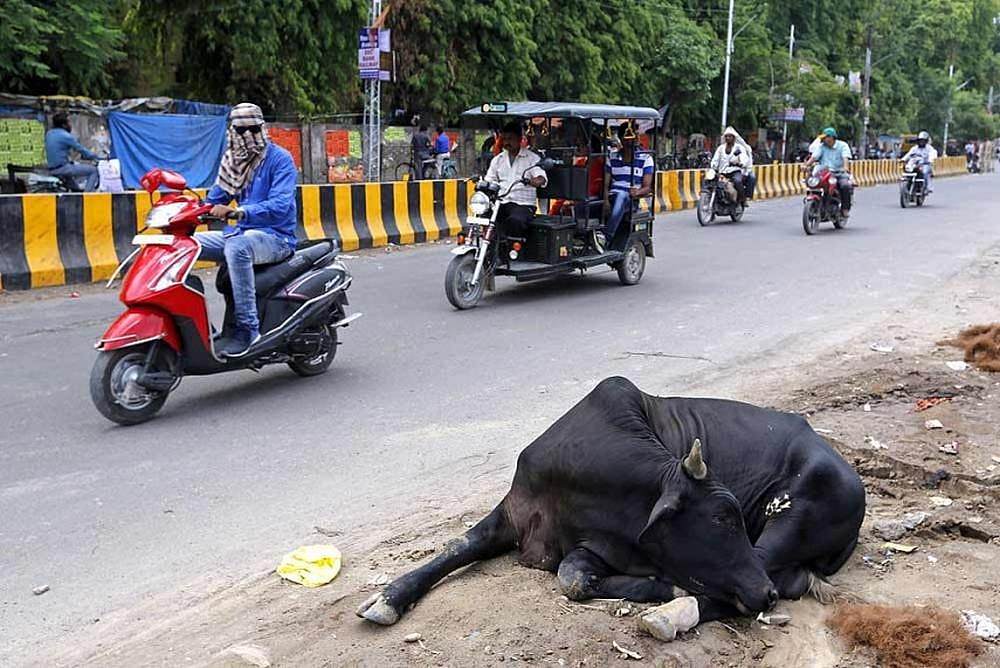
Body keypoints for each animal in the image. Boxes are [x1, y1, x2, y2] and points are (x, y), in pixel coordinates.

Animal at [357, 377, 865, 633]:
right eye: (721, 518)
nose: (766, 595)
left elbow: (572, 579)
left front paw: (666, 588)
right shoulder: (515, 515)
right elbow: (458, 547)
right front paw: (388, 597)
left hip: (787, 523)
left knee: (764, 583)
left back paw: (672, 612)